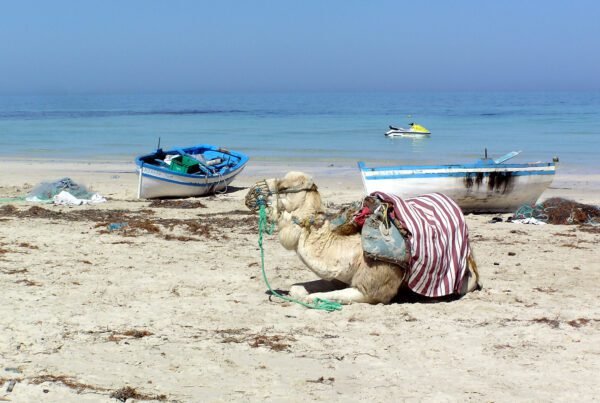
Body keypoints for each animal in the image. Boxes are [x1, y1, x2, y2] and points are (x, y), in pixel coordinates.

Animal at [245, 171, 481, 305]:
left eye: (284, 187)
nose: (251, 193)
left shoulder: (371, 289)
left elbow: (319, 296)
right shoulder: (339, 276)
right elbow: (301, 288)